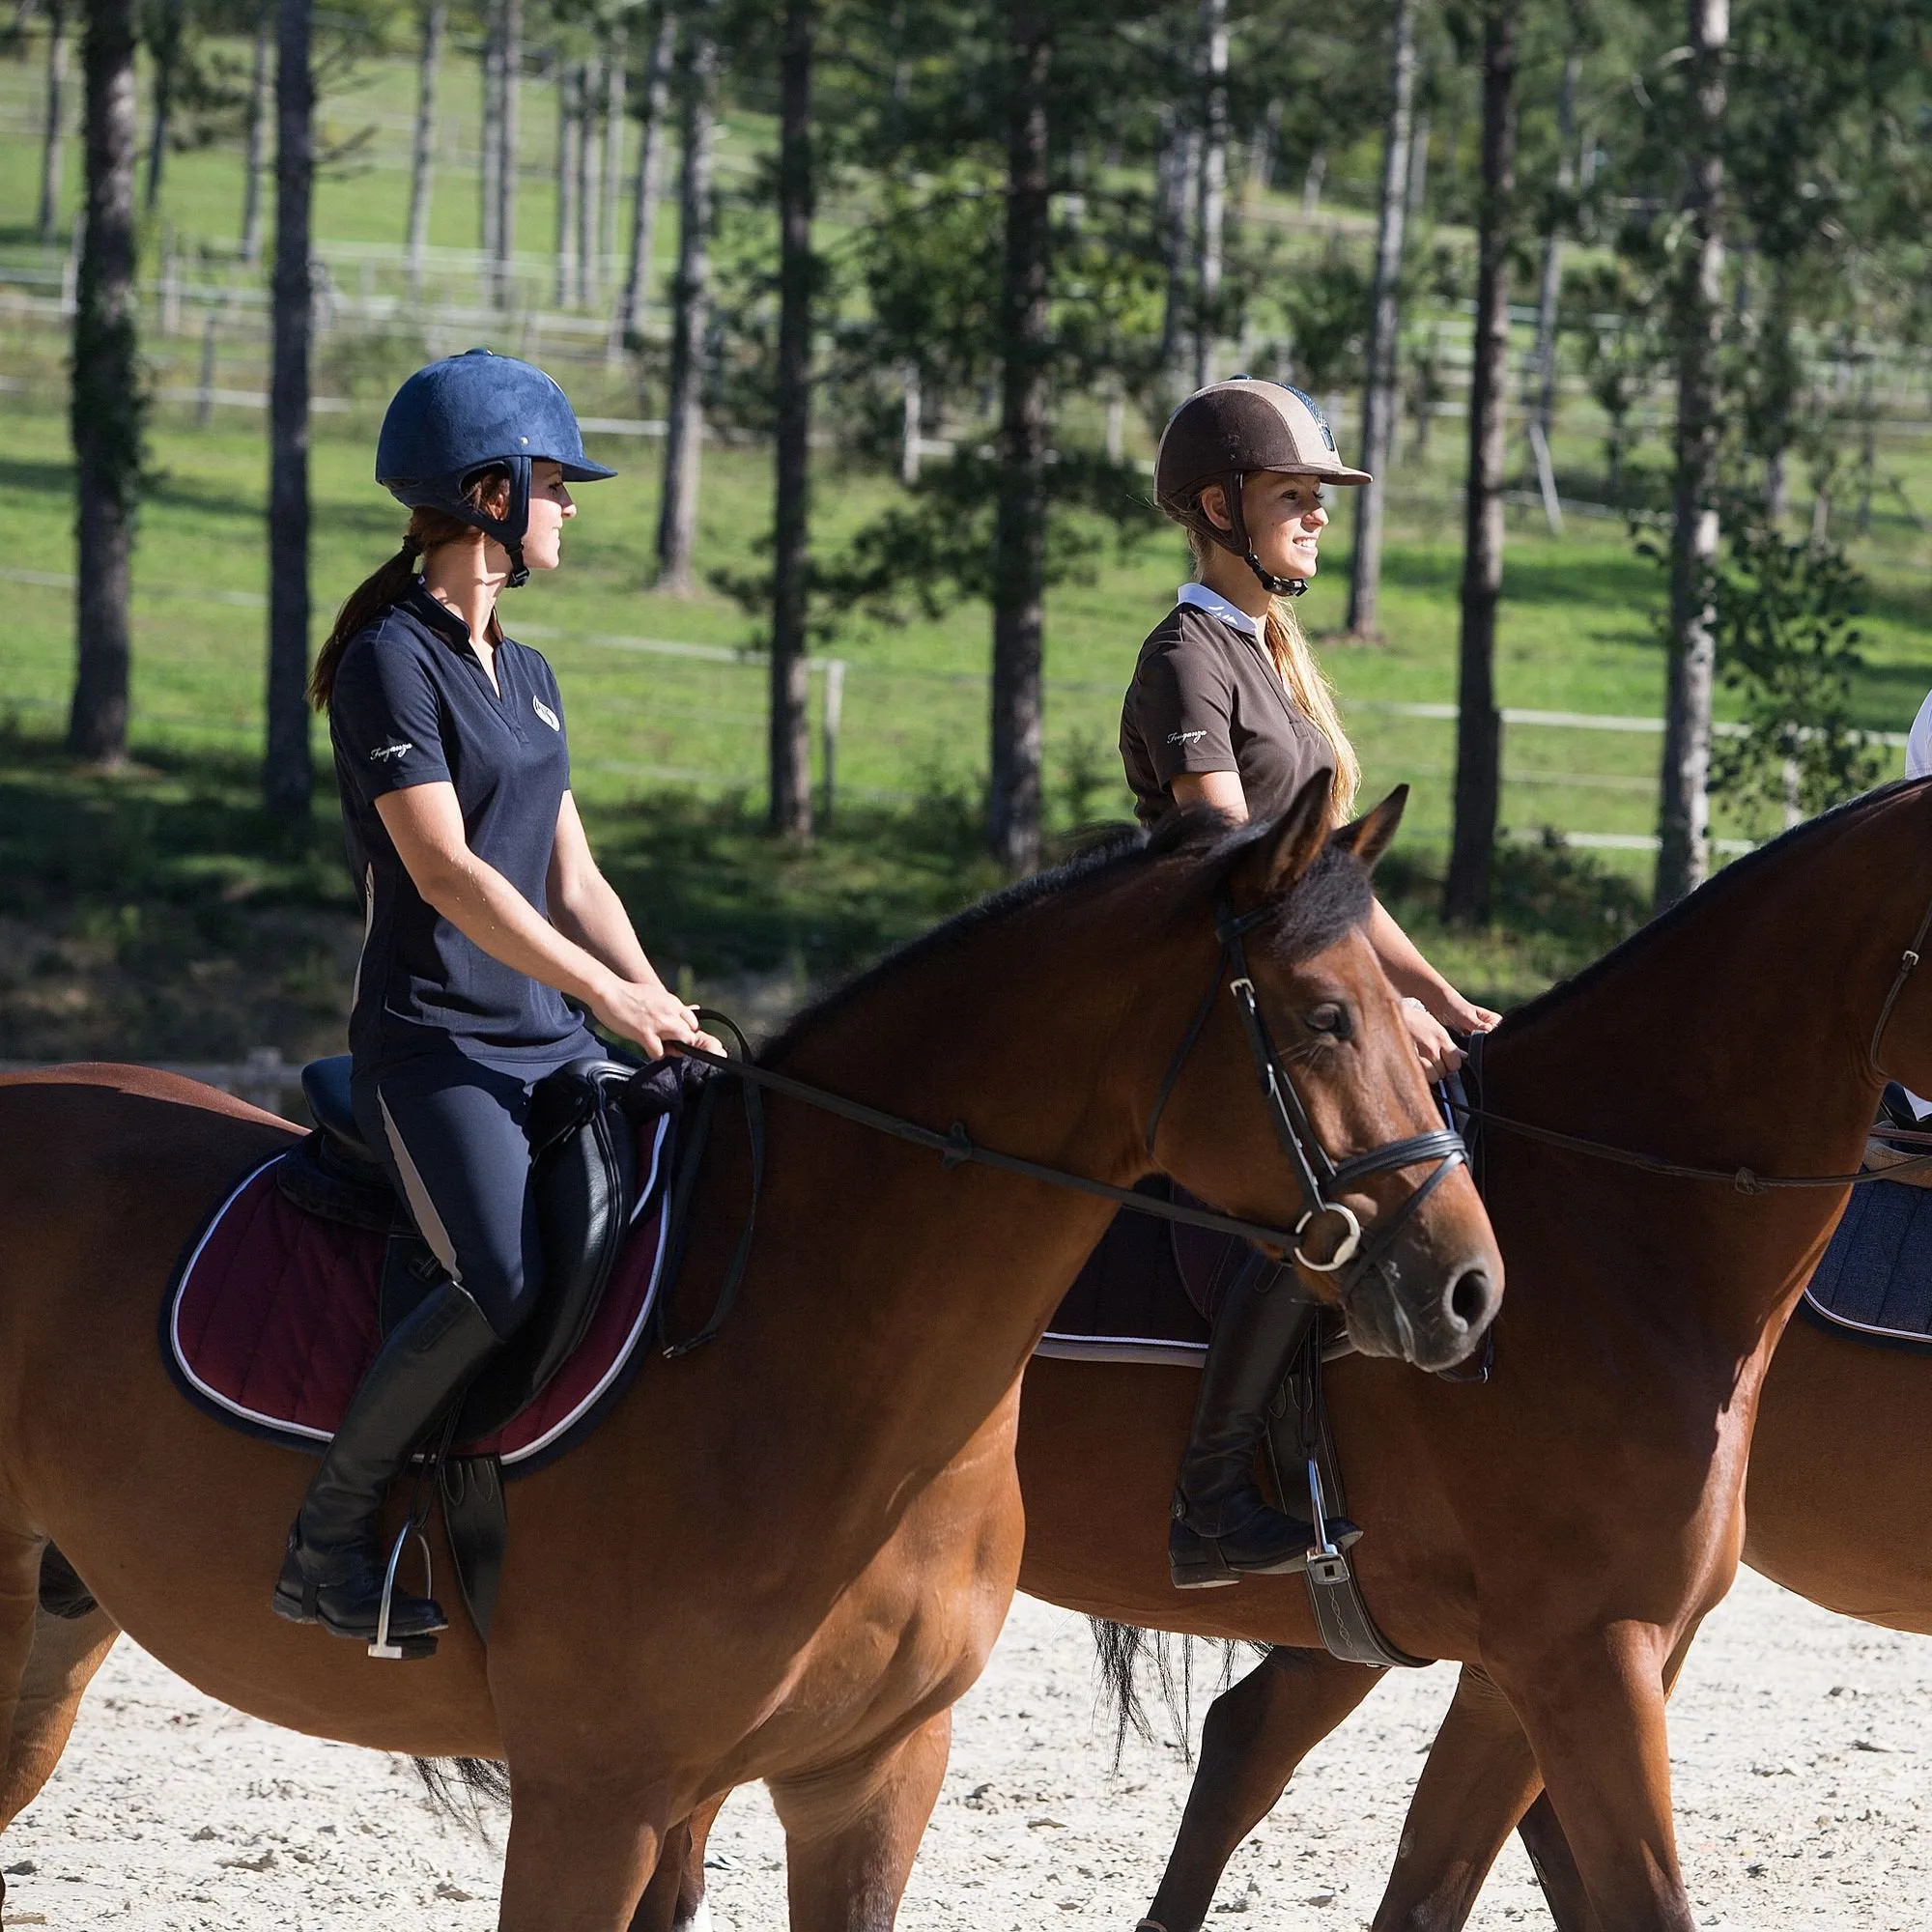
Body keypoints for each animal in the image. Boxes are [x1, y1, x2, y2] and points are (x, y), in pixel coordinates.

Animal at [0, 784, 1492, 1932]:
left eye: (1401, 1018)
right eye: (1324, 1018)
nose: (1470, 1287)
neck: (826, 1375)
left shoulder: (866, 1781)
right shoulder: (594, 1801)